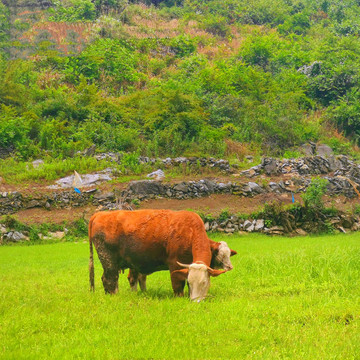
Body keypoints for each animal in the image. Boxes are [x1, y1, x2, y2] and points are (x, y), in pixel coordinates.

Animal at [88, 210, 232, 300]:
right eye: (221, 255)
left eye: (204, 282)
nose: (195, 301)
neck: (189, 230)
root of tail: (100, 214)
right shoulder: (175, 265)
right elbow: (178, 284)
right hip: (109, 261)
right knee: (110, 279)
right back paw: (113, 296)